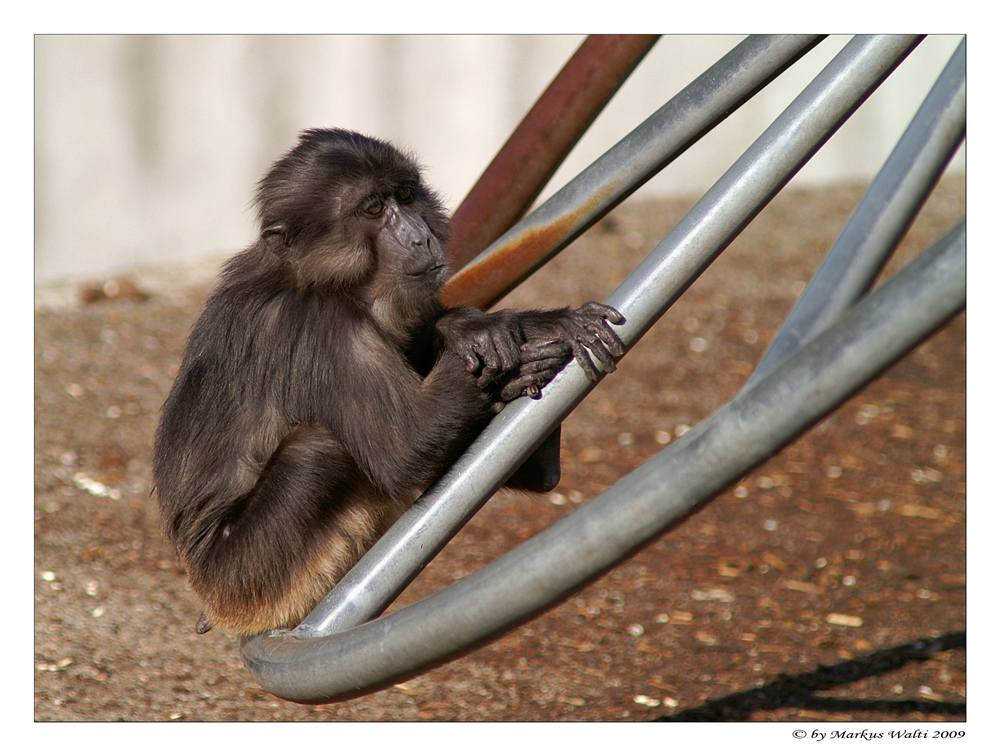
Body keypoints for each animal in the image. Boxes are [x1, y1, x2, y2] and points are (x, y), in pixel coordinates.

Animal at [151, 131, 620, 636]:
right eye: (374, 209)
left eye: (406, 195)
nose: (418, 234)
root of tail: (205, 597)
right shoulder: (321, 325)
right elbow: (404, 446)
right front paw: (484, 335)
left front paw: (485, 327)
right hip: (246, 581)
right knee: (318, 448)